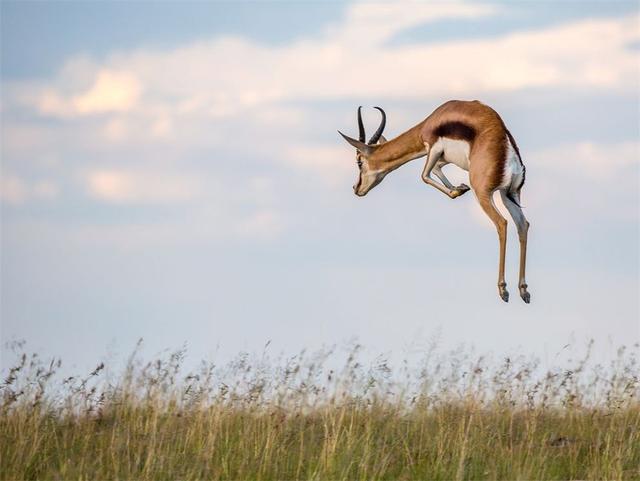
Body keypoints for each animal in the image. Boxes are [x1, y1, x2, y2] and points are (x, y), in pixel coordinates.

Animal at [340, 100, 528, 304]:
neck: (432, 121)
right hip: (509, 194)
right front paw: (460, 188)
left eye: (359, 161)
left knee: (502, 223)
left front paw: (457, 189)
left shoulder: (433, 149)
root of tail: (508, 147)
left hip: (484, 193)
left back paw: (504, 290)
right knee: (523, 225)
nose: (356, 188)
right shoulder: (442, 158)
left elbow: (424, 175)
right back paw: (523, 291)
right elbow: (437, 170)